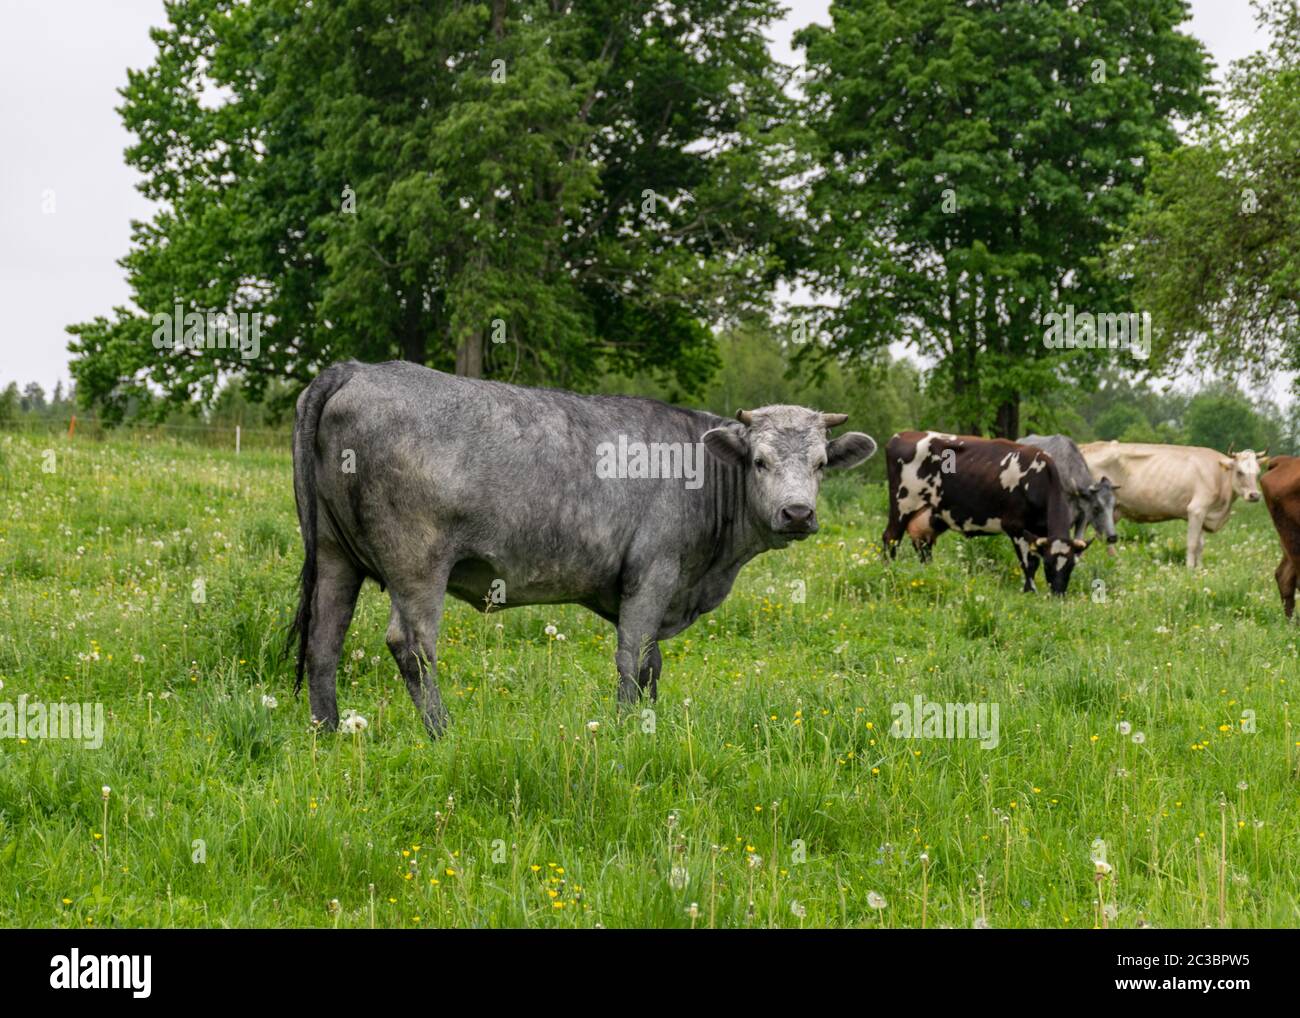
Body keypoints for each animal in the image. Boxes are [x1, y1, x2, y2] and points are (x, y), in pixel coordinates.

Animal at [289, 361, 877, 737]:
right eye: (759, 461)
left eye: (821, 463)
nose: (797, 514)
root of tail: (356, 368)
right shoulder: (654, 573)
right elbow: (631, 659)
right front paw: (627, 729)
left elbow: (651, 664)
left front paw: (650, 721)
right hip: (418, 562)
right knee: (411, 645)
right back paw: (441, 732)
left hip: (335, 555)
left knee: (323, 641)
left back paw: (328, 732)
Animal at [882, 431, 1090, 594]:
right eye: (1048, 563)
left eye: (1071, 566)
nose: (1058, 594)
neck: (1038, 479)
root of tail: (902, 435)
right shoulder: (1016, 527)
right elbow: (1029, 564)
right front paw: (1030, 591)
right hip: (902, 505)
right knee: (891, 538)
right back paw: (887, 571)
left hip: (929, 518)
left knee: (924, 547)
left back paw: (929, 573)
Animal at [1079, 442, 1267, 569]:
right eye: (1240, 472)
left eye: (1258, 473)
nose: (1255, 495)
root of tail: (1087, 446)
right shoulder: (1196, 510)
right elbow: (1192, 543)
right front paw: (1190, 569)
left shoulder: (1204, 515)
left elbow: (1200, 545)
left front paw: (1200, 569)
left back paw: (1116, 562)